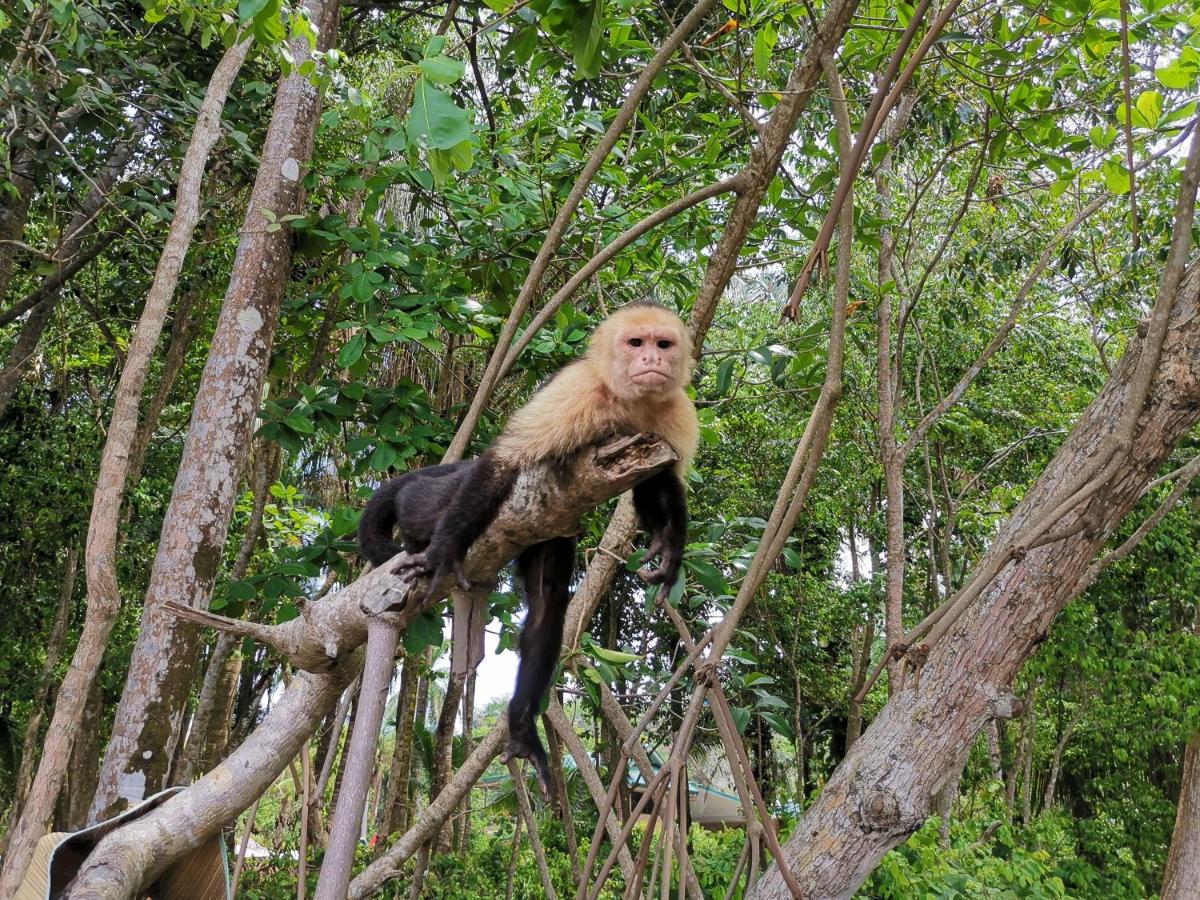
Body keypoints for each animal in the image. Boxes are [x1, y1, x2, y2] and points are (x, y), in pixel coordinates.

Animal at [355, 303, 700, 796]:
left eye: (663, 344)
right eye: (636, 343)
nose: (651, 359)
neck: (630, 402)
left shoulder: (674, 413)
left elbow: (660, 481)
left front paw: (671, 549)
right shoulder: (577, 389)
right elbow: (506, 459)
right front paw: (442, 552)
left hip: (547, 531)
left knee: (547, 603)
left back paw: (521, 730)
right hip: (458, 499)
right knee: (440, 498)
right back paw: (420, 523)